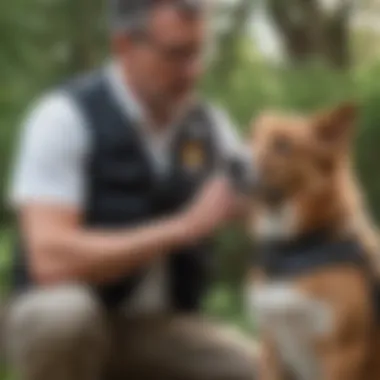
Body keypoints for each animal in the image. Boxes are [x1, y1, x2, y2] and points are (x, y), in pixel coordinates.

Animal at [245, 101, 380, 380]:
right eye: (250, 137)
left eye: (283, 145)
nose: (230, 164)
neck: (295, 248)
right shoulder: (270, 349)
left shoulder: (342, 354)